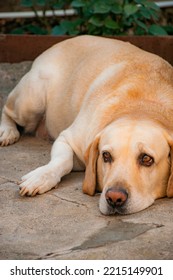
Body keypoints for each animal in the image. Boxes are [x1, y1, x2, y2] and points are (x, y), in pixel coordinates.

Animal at [0, 35, 173, 214]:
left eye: (146, 159)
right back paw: (7, 131)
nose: (114, 198)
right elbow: (64, 160)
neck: (141, 107)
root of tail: (58, 44)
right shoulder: (66, 138)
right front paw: (40, 177)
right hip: (32, 101)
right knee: (7, 109)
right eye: (106, 156)